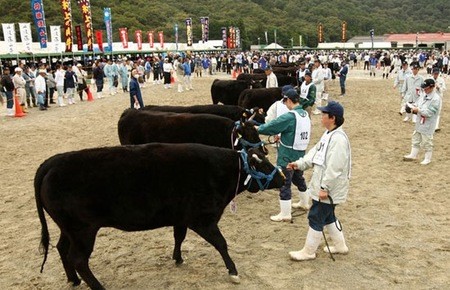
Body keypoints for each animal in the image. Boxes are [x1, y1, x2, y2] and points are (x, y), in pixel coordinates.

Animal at [36, 142, 284, 288]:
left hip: (69, 229)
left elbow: (179, 237)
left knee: (62, 249)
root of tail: (52, 162)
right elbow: (221, 243)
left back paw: (74, 280)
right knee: (78, 259)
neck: (221, 171)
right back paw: (96, 286)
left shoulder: (181, 217)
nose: (282, 177)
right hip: (83, 230)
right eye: (263, 165)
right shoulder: (203, 219)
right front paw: (233, 271)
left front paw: (178, 258)